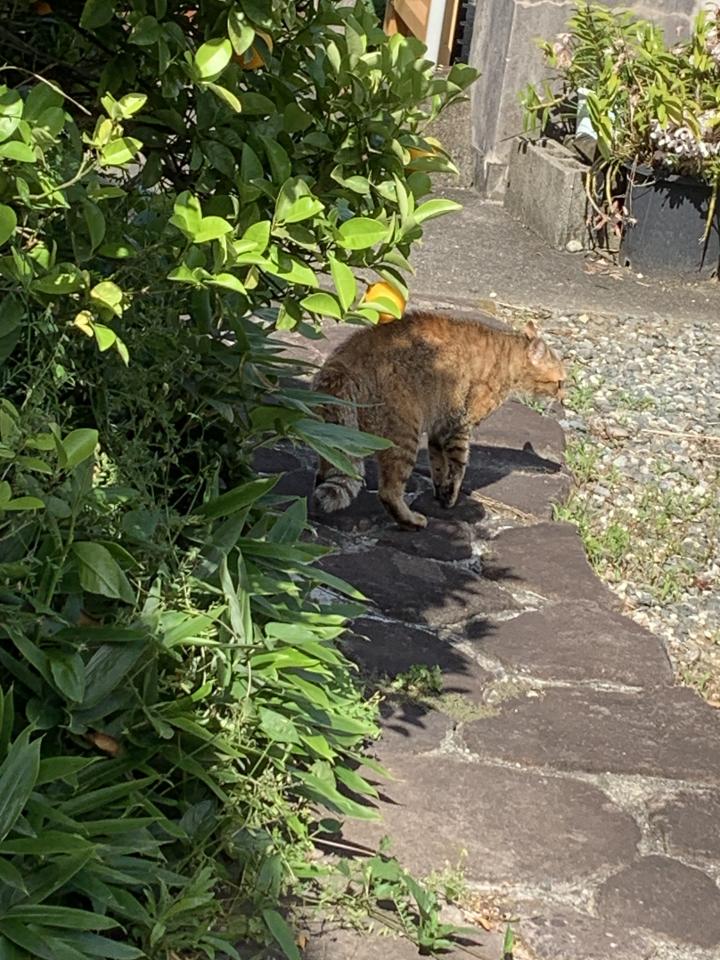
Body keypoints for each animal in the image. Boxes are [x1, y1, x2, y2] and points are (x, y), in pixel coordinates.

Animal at [311, 309, 566, 529]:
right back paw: (412, 521)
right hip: (404, 437)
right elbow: (458, 467)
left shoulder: (439, 427)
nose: (564, 398)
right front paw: (450, 497)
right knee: (389, 492)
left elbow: (438, 465)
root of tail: (339, 366)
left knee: (325, 473)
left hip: (336, 440)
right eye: (560, 382)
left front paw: (439, 491)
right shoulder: (459, 426)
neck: (506, 359)